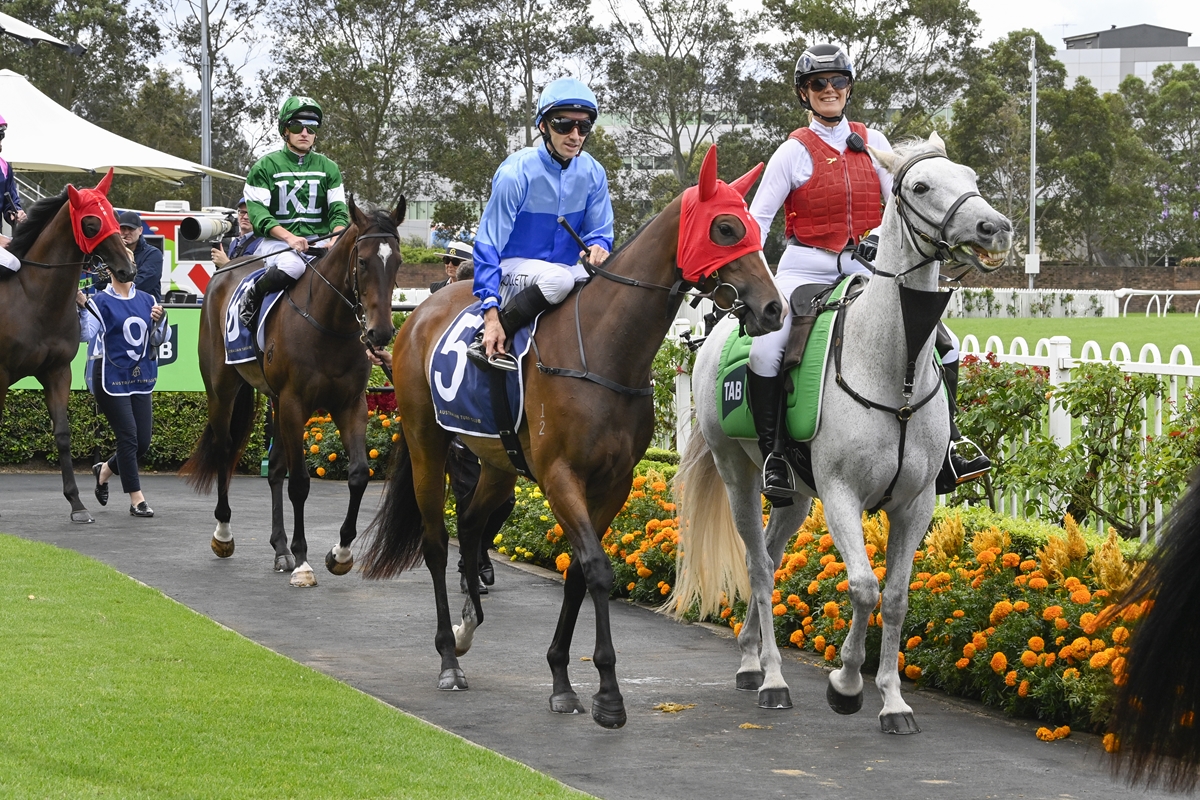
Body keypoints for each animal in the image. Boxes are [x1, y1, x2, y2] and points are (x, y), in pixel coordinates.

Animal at [0, 170, 137, 523]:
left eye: (113, 215)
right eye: (90, 223)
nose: (128, 269)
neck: (33, 298)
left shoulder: (57, 372)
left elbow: (62, 433)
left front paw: (76, 503)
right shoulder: (1, 375)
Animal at [181, 197, 404, 587]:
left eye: (398, 262)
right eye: (363, 261)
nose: (380, 333)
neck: (328, 325)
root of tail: (227, 268)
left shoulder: (350, 405)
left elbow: (359, 474)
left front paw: (340, 553)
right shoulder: (295, 404)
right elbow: (299, 482)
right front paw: (303, 561)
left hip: (274, 400)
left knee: (274, 469)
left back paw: (280, 548)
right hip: (223, 390)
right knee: (225, 449)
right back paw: (224, 533)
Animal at [359, 145, 785, 728]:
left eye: (755, 229)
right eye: (725, 228)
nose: (773, 308)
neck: (604, 352)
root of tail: (419, 312)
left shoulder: (614, 482)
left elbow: (580, 573)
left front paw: (562, 680)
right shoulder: (561, 476)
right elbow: (597, 569)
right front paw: (608, 694)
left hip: (498, 462)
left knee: (470, 525)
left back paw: (469, 626)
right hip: (427, 443)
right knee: (437, 543)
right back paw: (449, 657)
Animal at [669, 132, 1012, 732]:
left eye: (971, 176)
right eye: (921, 186)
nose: (994, 227)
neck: (892, 370)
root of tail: (717, 331)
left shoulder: (916, 503)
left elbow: (895, 597)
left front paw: (894, 701)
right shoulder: (842, 495)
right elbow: (863, 587)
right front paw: (847, 683)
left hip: (796, 496)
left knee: (774, 554)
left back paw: (750, 657)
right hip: (738, 474)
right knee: (760, 565)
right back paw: (772, 678)